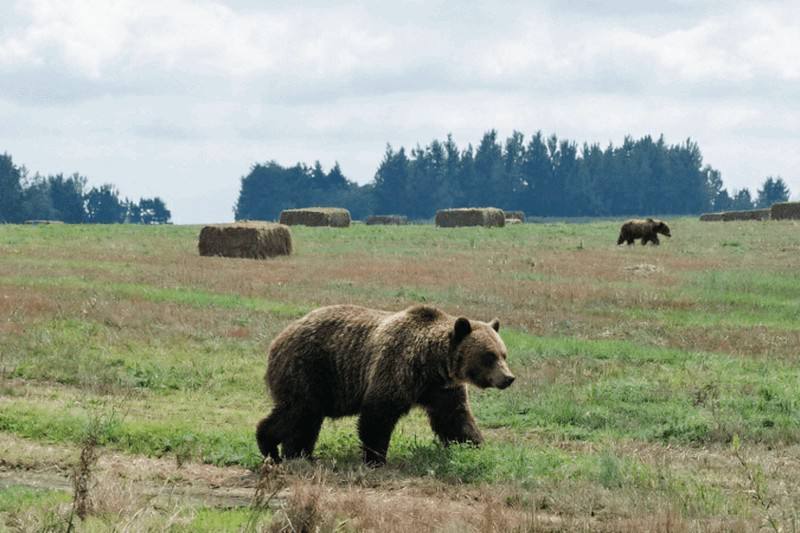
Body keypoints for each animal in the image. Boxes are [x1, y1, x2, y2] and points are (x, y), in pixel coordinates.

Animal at [255, 304, 515, 466]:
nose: (508, 378)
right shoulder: (397, 368)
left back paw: (299, 455)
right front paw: (376, 458)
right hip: (308, 369)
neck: (433, 363)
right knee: (299, 412)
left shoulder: (442, 389)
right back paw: (270, 446)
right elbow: (377, 415)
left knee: (306, 420)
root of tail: (278, 339)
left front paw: (475, 446)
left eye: (504, 354)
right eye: (489, 356)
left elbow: (455, 418)